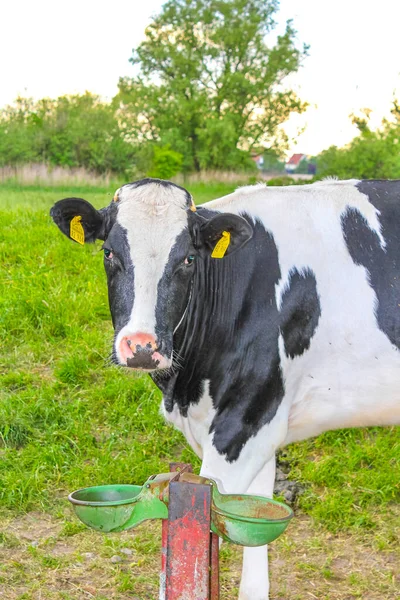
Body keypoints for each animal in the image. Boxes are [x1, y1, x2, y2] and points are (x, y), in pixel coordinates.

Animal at [50, 178, 400, 600]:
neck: (186, 390)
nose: (142, 347)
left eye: (188, 259)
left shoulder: (245, 423)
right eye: (109, 252)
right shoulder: (259, 429)